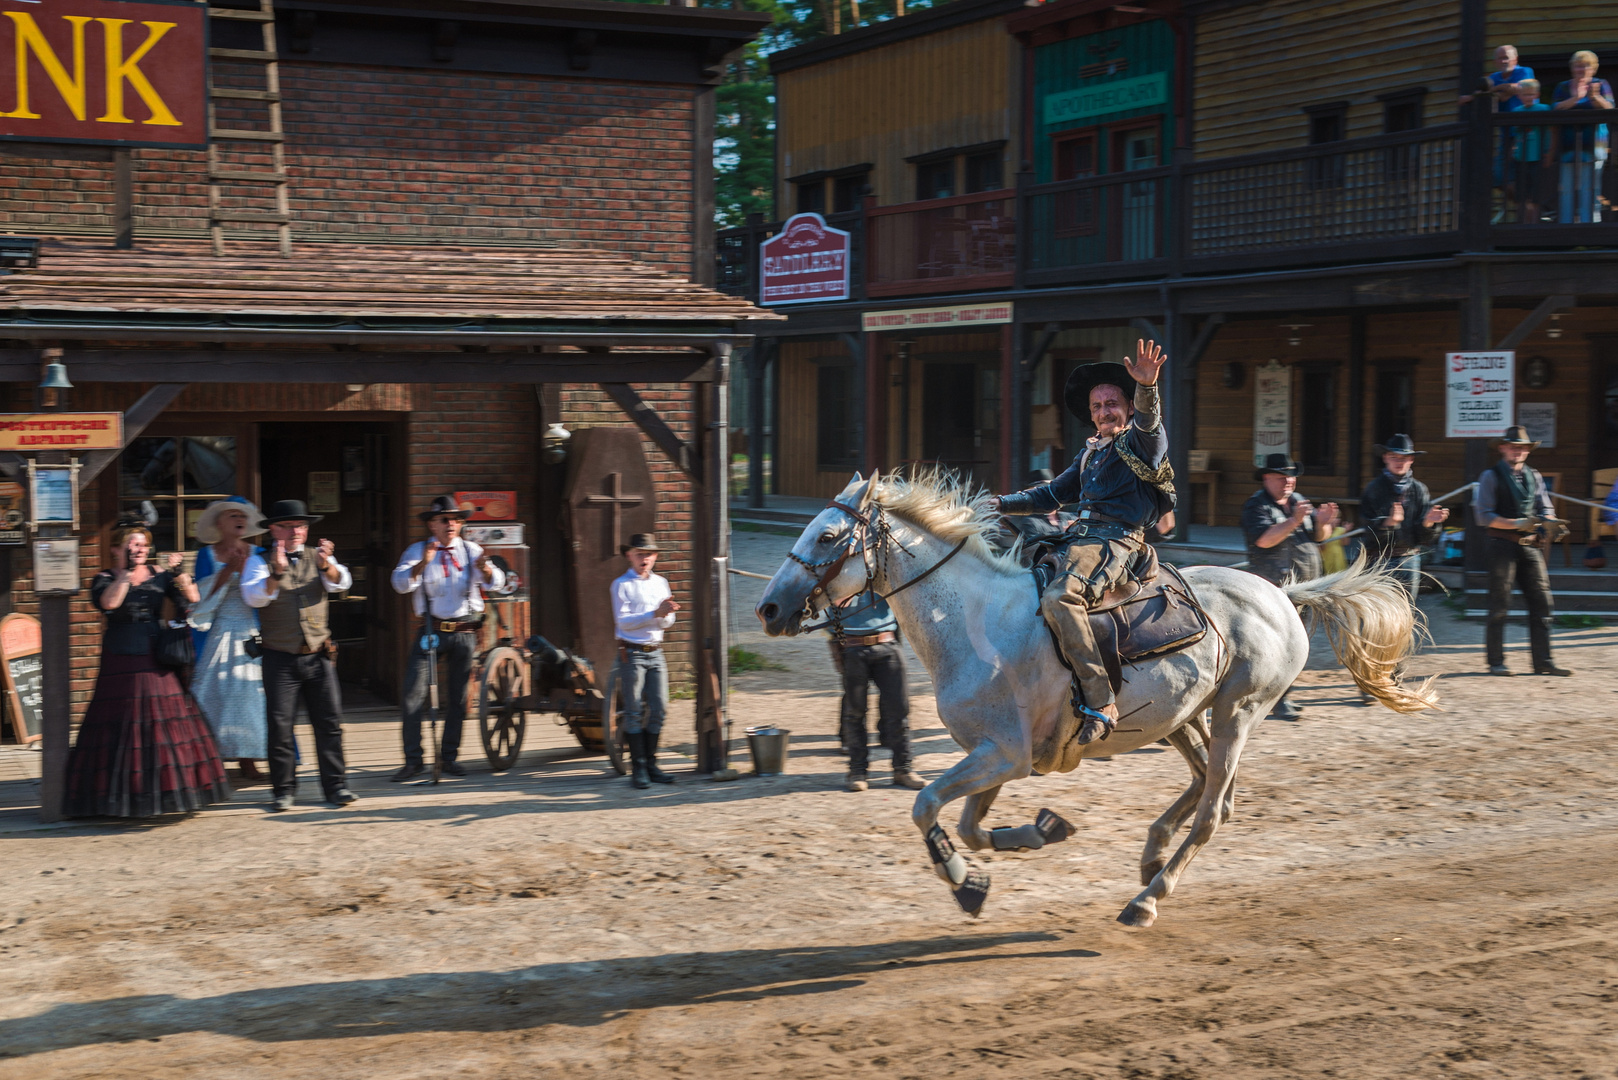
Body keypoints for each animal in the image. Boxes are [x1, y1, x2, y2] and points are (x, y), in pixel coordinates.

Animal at [750, 472, 1436, 932]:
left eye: (828, 535)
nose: (770, 608)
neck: (976, 623)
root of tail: (1281, 594)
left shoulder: (1001, 756)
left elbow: (925, 807)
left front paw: (965, 885)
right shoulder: (1000, 756)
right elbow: (969, 826)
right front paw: (1036, 834)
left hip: (1236, 713)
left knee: (1214, 811)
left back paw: (1147, 898)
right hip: (1181, 717)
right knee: (1204, 786)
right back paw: (1152, 853)